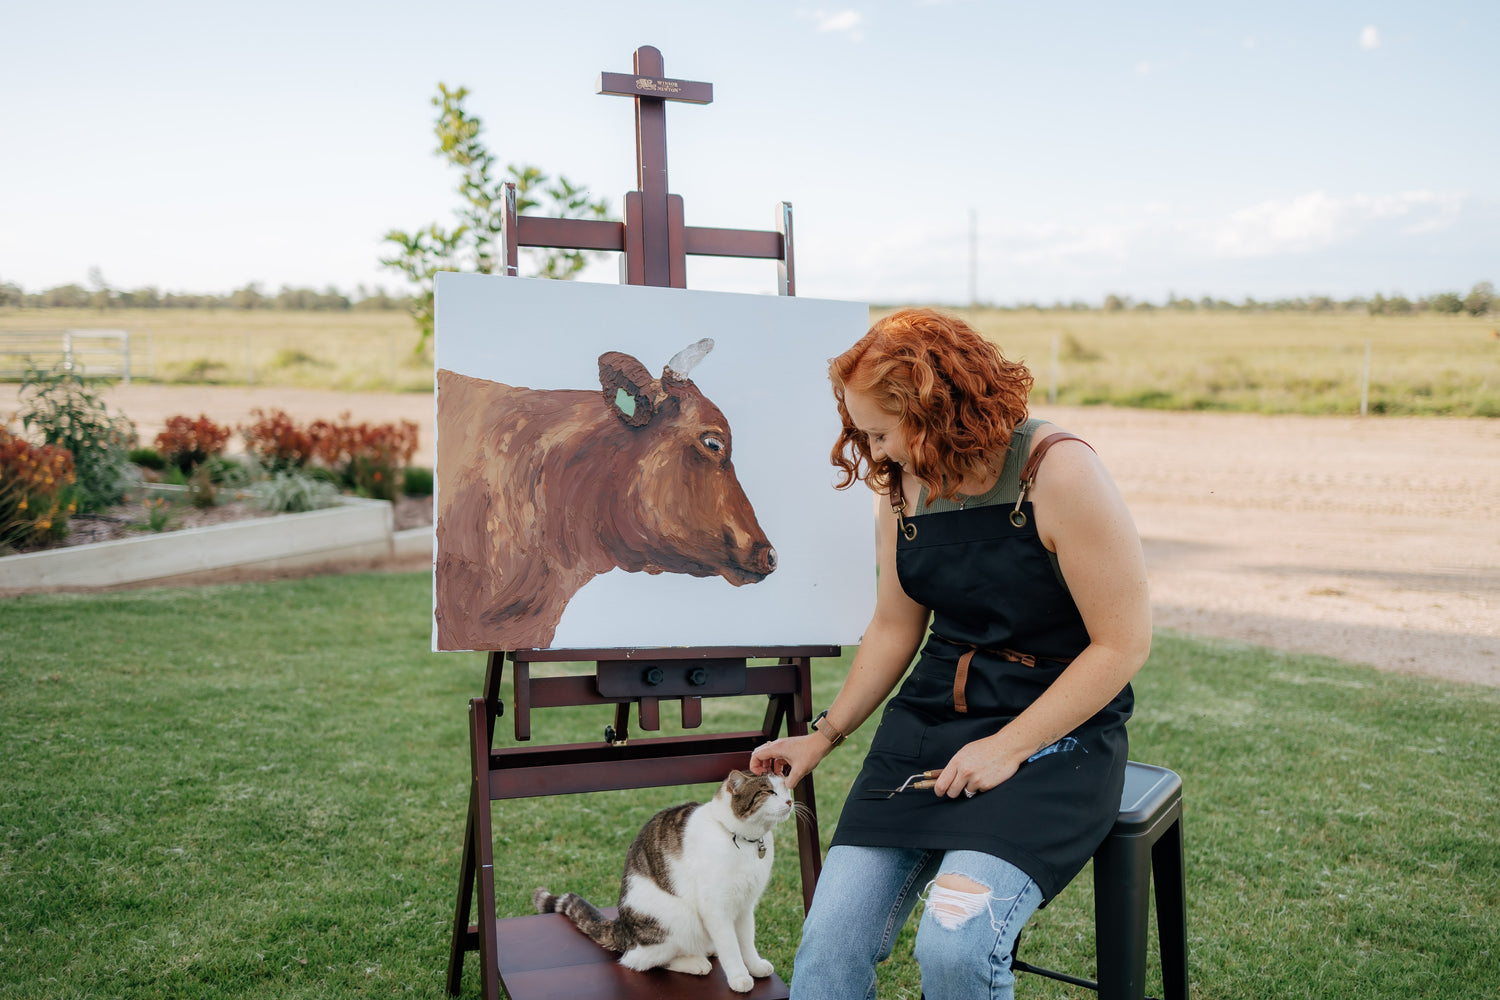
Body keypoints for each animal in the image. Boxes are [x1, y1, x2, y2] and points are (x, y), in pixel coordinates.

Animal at [537, 773, 798, 989]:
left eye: (786, 789)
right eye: (769, 791)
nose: (789, 802)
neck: (746, 843)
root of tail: (622, 928)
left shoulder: (745, 905)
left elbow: (746, 941)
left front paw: (754, 966)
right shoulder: (715, 907)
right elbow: (730, 946)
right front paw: (739, 977)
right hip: (678, 917)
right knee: (639, 961)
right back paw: (695, 962)